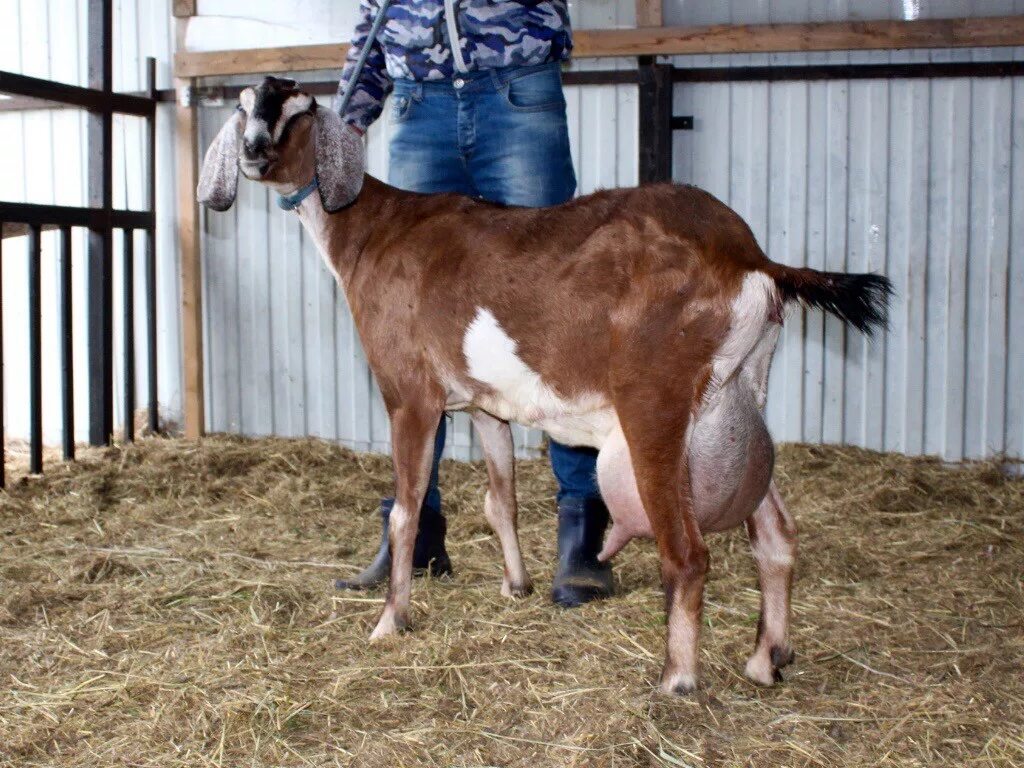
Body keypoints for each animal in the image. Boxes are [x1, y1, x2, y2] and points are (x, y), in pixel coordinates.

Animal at [197, 78, 888, 696]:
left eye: (299, 111)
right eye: (243, 108)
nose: (254, 152)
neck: (372, 230)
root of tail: (749, 257)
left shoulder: (411, 397)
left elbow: (405, 509)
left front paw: (392, 620)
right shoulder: (484, 405)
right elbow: (500, 499)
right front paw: (516, 585)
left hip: (656, 404)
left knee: (688, 553)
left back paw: (677, 679)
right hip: (737, 400)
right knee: (774, 535)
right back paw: (767, 658)